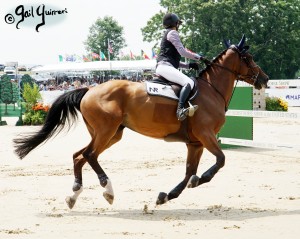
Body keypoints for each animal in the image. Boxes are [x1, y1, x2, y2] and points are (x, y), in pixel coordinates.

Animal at [12, 34, 268, 208]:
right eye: (248, 58)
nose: (264, 79)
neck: (211, 90)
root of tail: (89, 89)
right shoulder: (206, 135)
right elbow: (220, 160)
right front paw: (200, 179)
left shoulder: (195, 143)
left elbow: (188, 172)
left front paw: (166, 196)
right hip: (107, 130)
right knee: (89, 155)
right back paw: (108, 189)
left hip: (110, 134)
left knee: (79, 156)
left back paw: (74, 195)